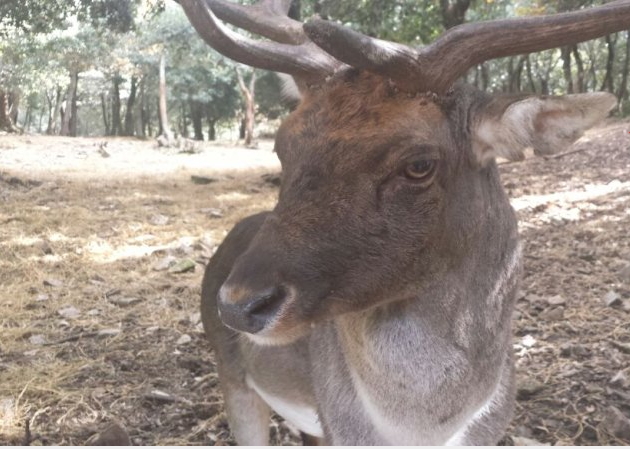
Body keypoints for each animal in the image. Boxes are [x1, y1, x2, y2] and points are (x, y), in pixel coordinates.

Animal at [176, 0, 630, 444]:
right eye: (283, 147)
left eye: (419, 164)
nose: (237, 304)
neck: (423, 429)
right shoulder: (340, 429)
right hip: (233, 378)